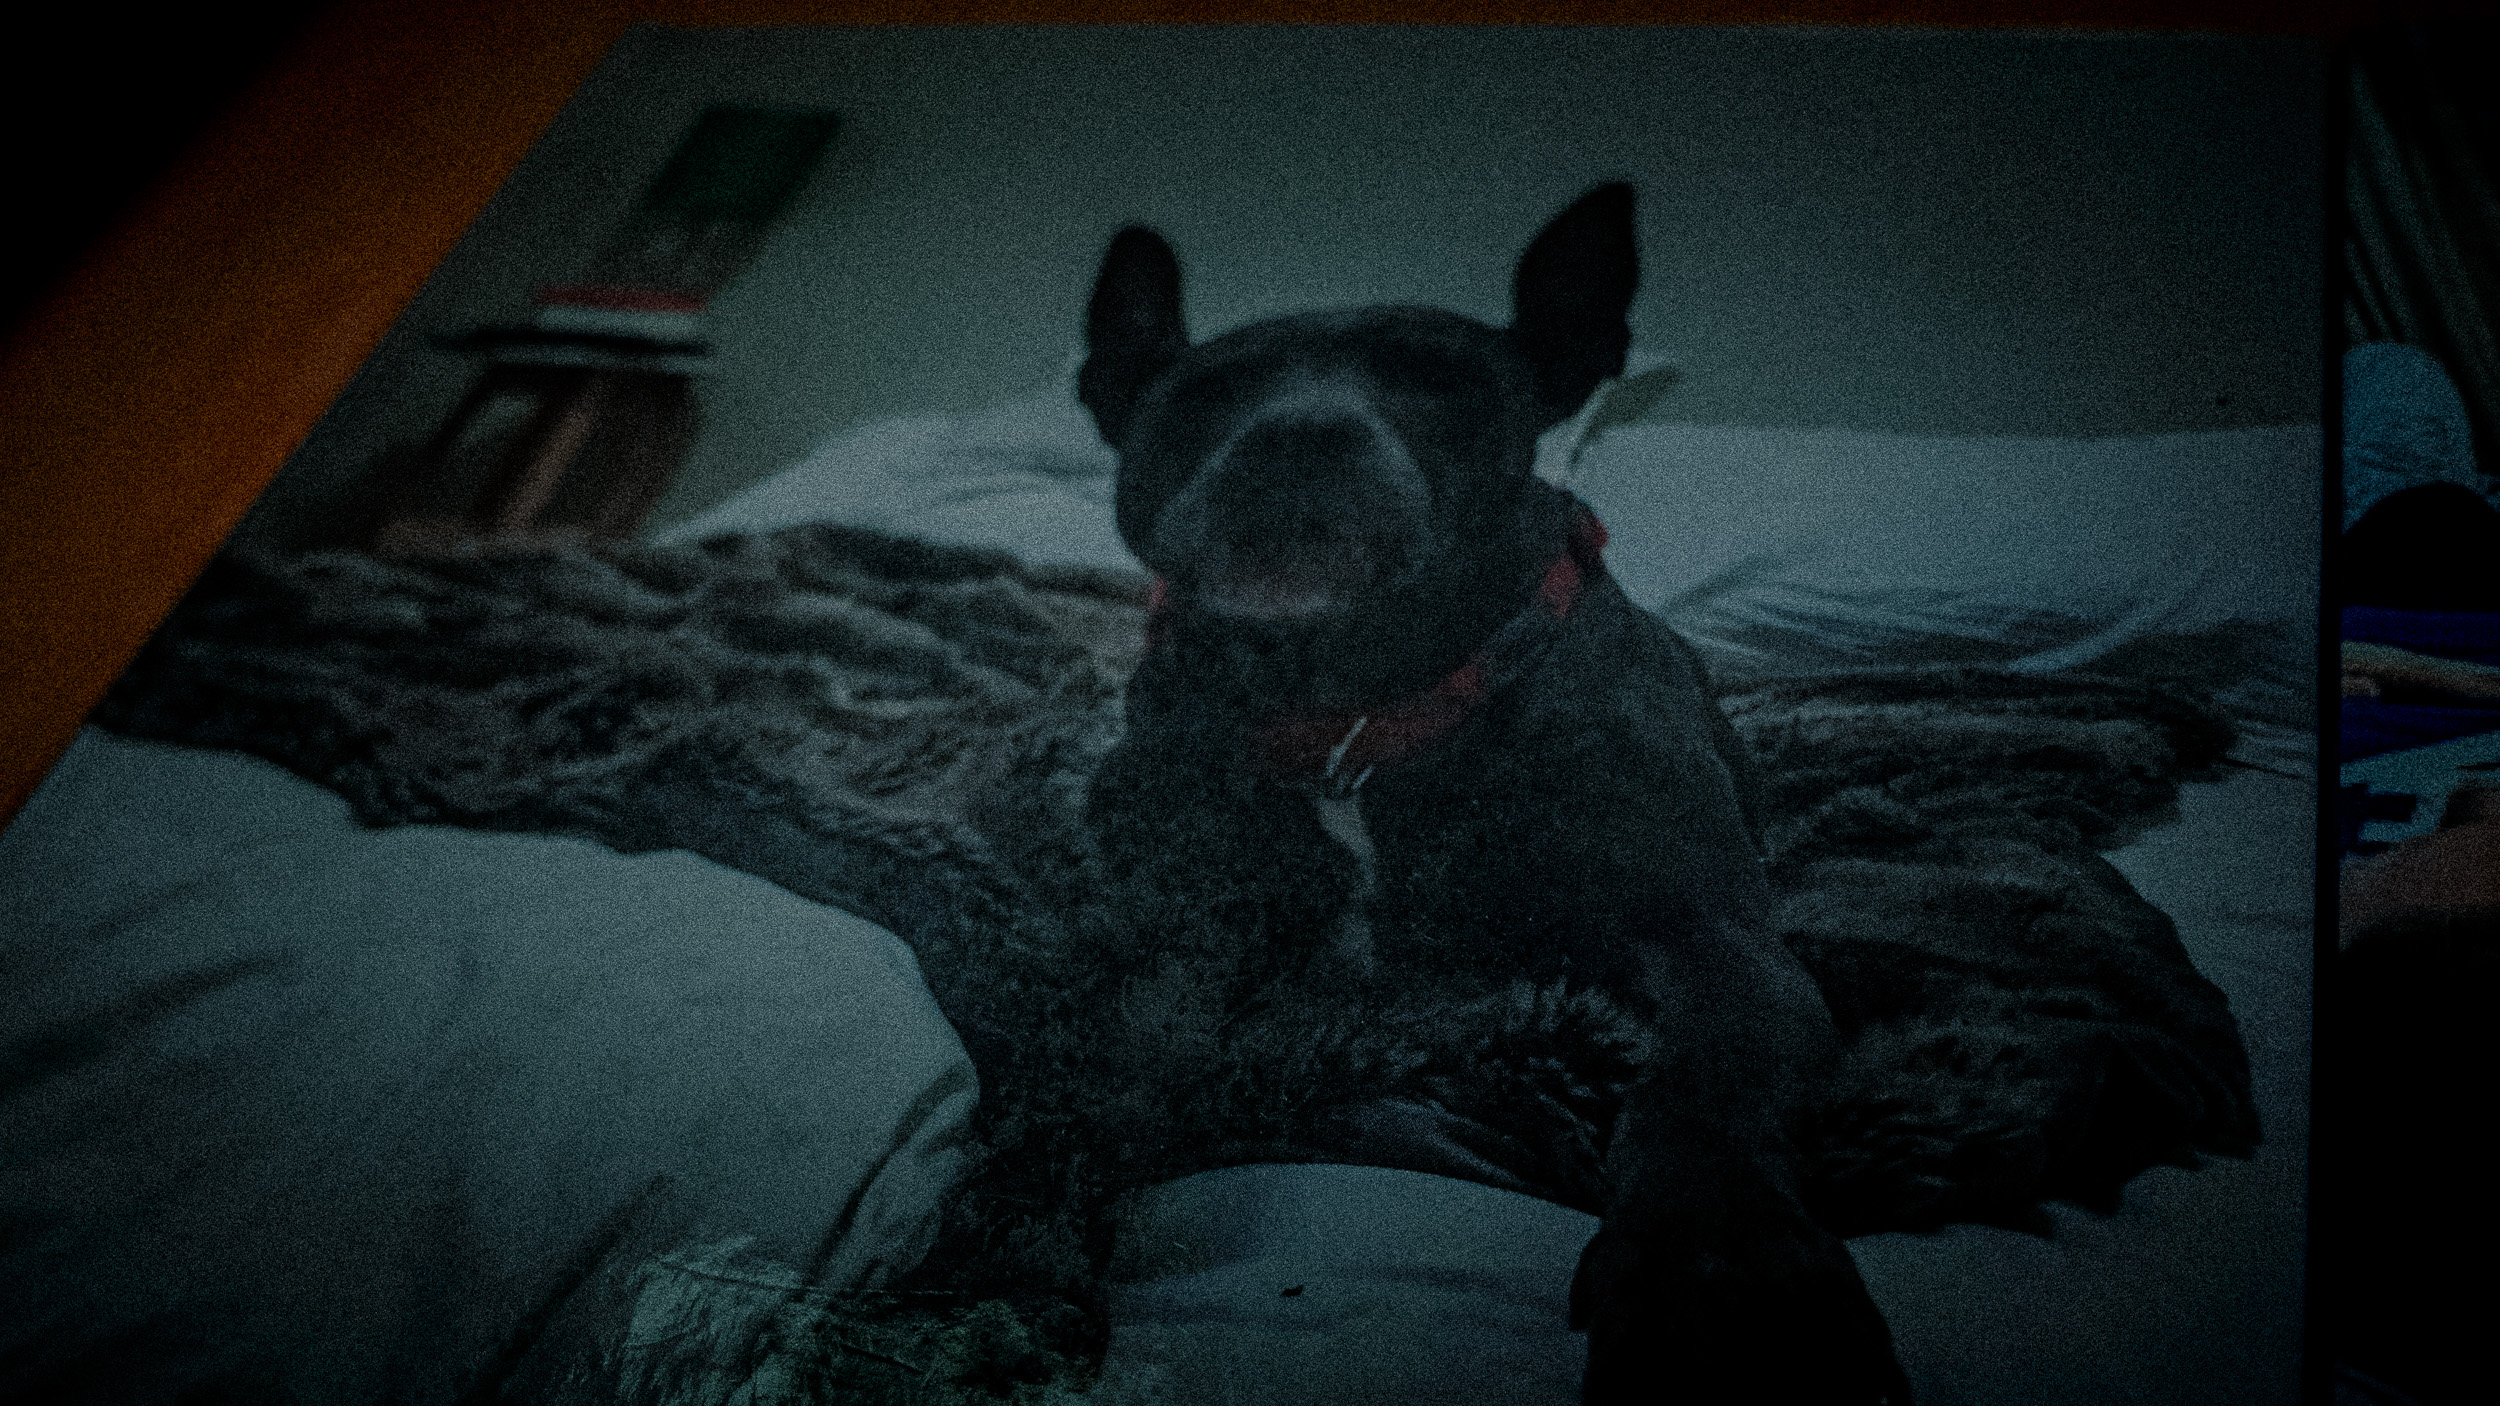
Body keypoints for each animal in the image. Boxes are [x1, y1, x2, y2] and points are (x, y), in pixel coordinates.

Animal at [1077, 185, 1914, 1404]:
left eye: (1439, 380)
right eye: (1203, 397)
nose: (1295, 435)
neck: (1357, 713)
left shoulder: (1714, 944)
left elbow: (1700, 1091)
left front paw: (1714, 1270)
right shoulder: (1184, 935)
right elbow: (1125, 1058)